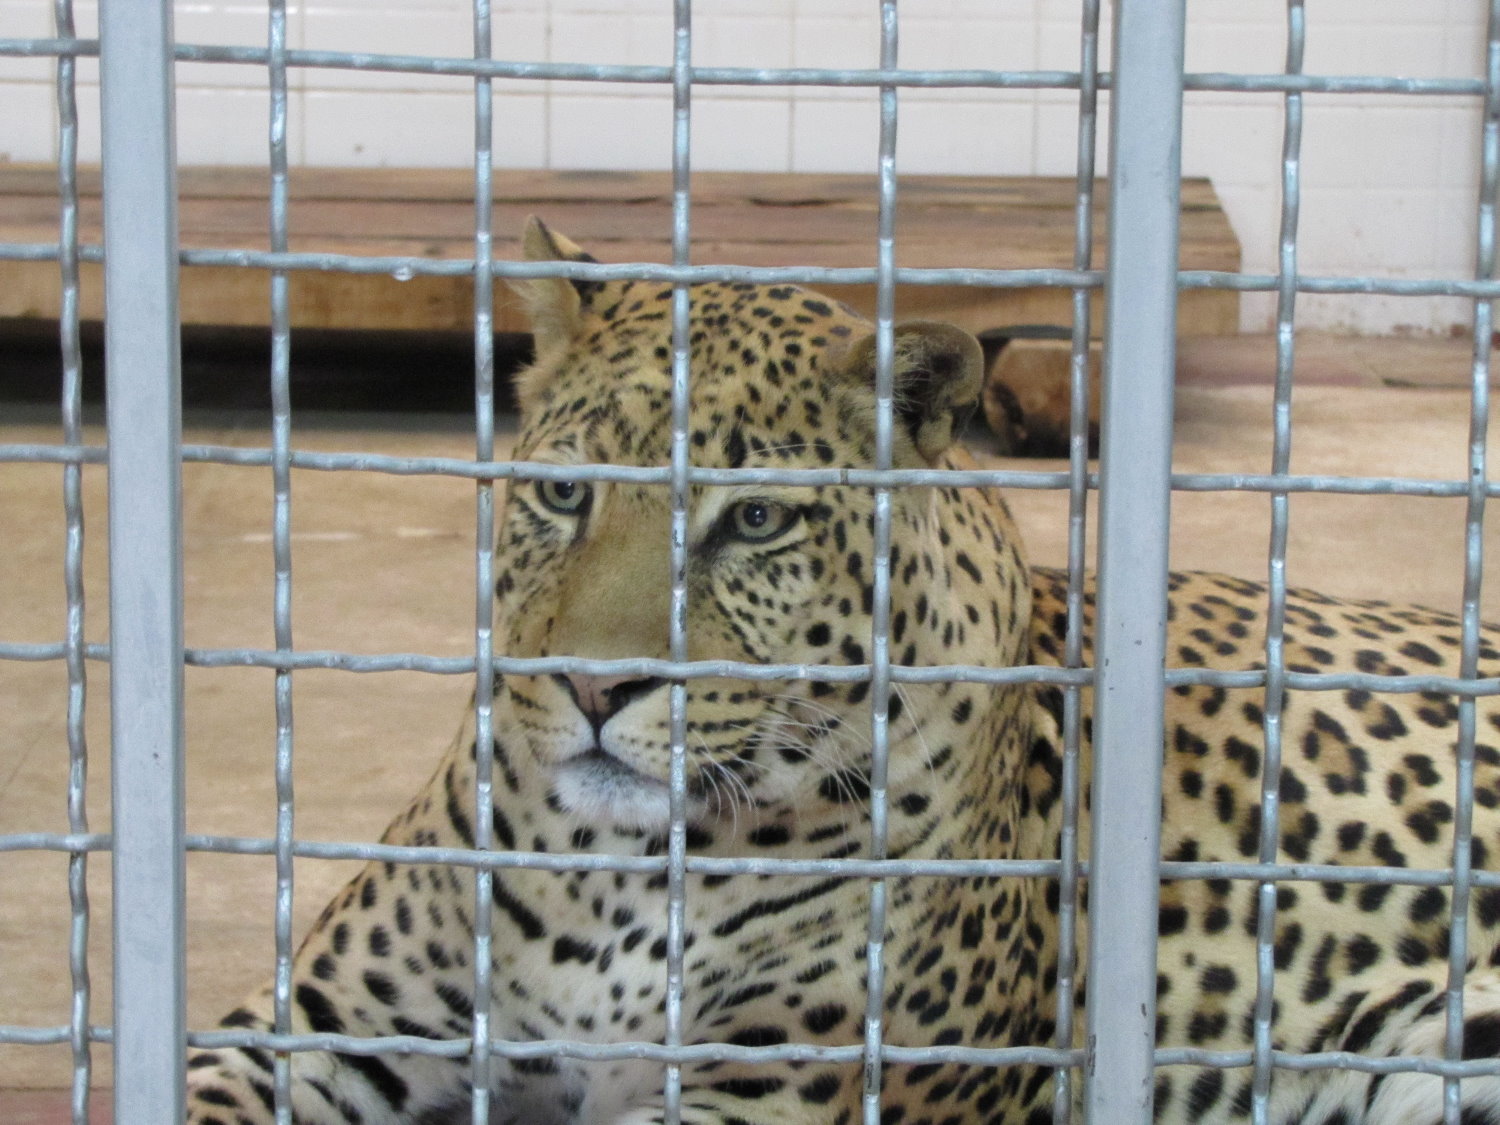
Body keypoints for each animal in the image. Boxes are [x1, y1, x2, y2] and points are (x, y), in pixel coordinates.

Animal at [185, 218, 1500, 1125]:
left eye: (757, 522)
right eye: (564, 493)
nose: (597, 690)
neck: (614, 879)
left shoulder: (781, 1091)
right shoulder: (315, 1027)